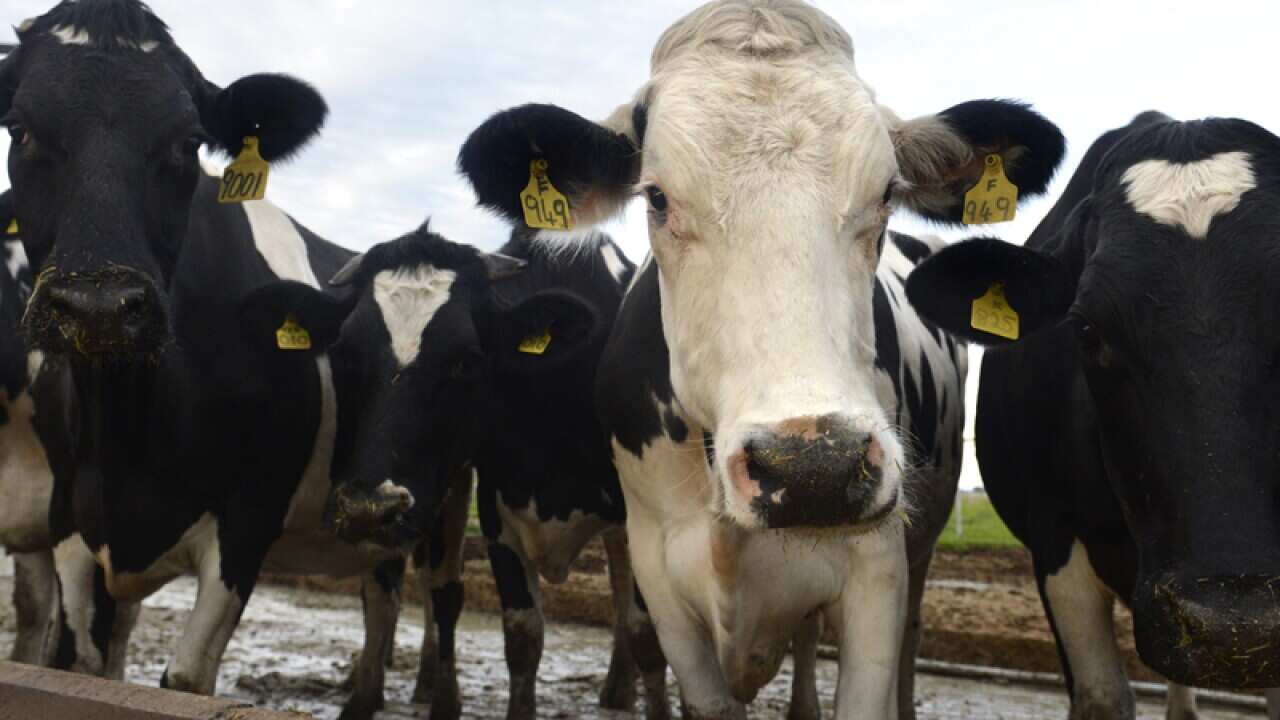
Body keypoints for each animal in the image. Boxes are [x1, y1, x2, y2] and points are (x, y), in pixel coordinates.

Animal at [324, 223, 676, 719]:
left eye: (466, 360)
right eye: (347, 352)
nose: (367, 509)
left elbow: (649, 633)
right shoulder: (498, 516)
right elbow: (522, 637)